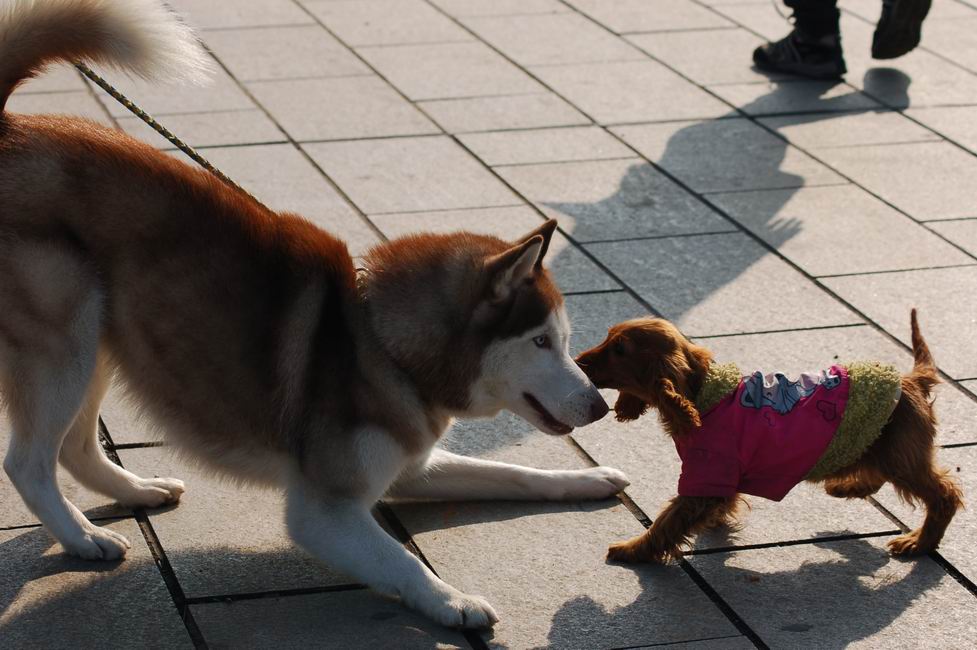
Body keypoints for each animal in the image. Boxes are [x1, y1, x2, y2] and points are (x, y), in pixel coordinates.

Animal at [0, 0, 624, 628]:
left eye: (565, 340)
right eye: (542, 342)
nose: (600, 406)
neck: (382, 342)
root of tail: (10, 129)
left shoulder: (410, 465)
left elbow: (512, 473)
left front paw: (588, 478)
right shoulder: (326, 511)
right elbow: (402, 561)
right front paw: (454, 601)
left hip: (102, 334)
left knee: (75, 448)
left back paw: (135, 491)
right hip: (67, 334)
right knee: (29, 462)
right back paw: (81, 537)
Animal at [576, 308, 964, 560]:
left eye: (619, 350)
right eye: (607, 338)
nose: (577, 361)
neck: (702, 397)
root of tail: (911, 381)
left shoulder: (705, 475)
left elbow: (668, 522)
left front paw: (633, 549)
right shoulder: (719, 477)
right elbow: (716, 505)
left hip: (901, 454)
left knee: (944, 494)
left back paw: (920, 543)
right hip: (882, 444)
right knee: (878, 470)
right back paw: (848, 487)